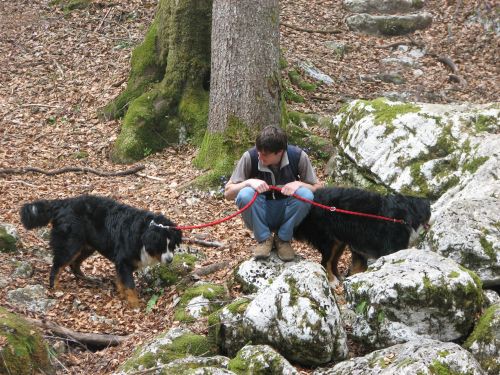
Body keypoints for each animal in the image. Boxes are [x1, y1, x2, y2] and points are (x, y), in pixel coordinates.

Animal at [21, 195, 183, 306]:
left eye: (171, 245)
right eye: (161, 246)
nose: (170, 259)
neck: (143, 233)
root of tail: (62, 203)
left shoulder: (121, 264)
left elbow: (122, 282)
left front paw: (122, 295)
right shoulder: (123, 261)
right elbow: (130, 286)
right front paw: (135, 304)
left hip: (87, 246)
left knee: (74, 265)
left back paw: (88, 279)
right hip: (71, 245)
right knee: (57, 267)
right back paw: (56, 287)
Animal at [294, 187, 432, 284]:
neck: (405, 216)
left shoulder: (359, 251)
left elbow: (357, 269)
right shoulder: (390, 249)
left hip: (339, 242)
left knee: (333, 261)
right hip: (328, 241)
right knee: (325, 262)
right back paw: (332, 281)